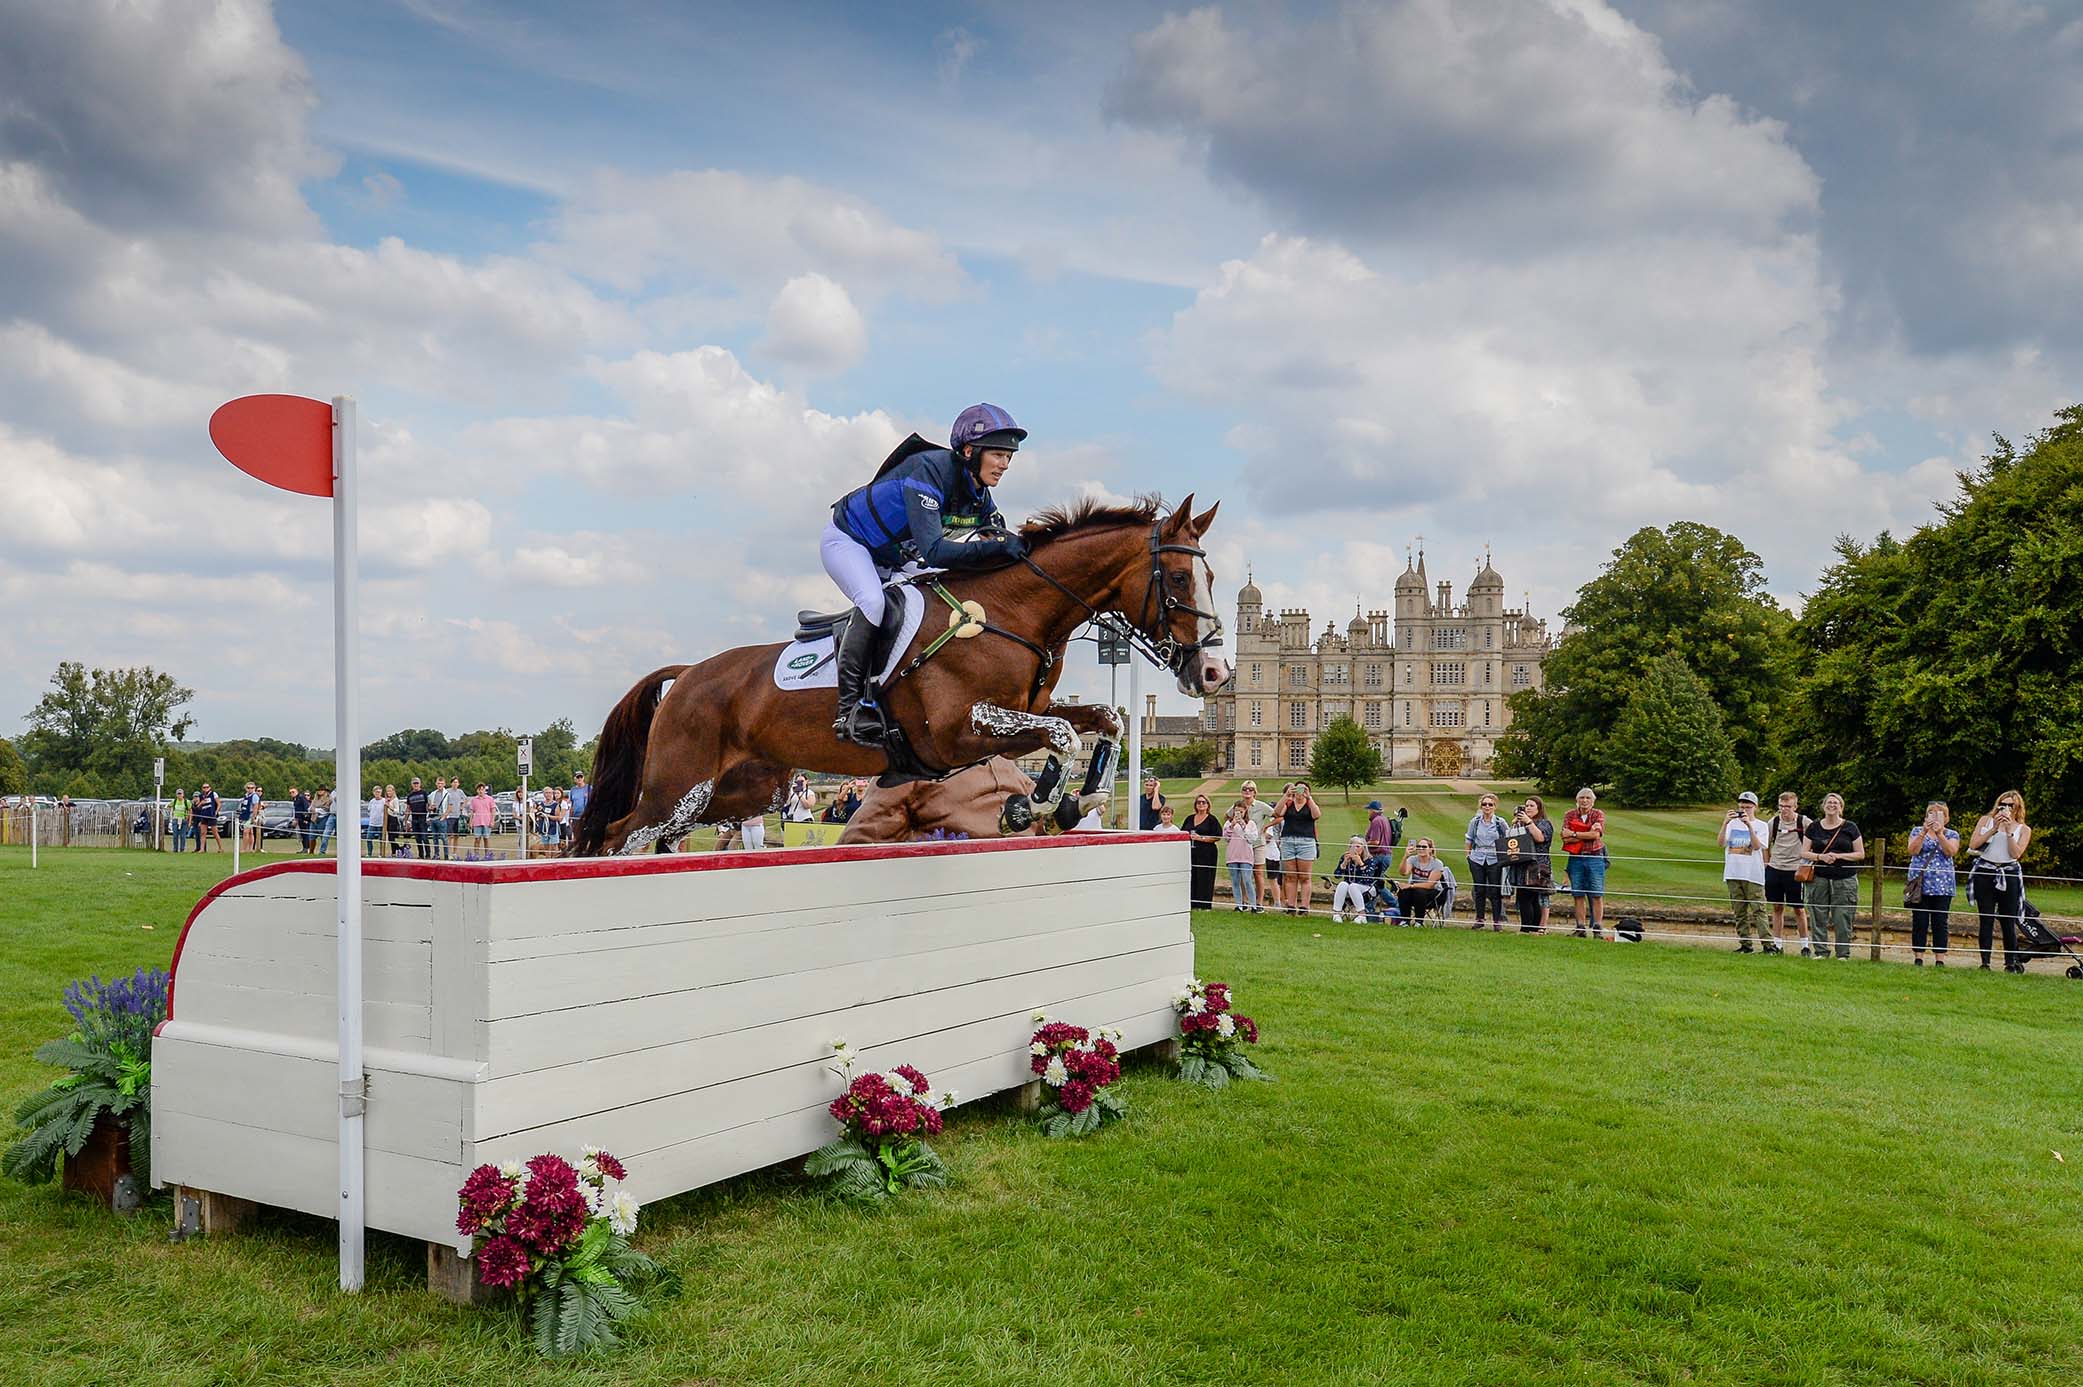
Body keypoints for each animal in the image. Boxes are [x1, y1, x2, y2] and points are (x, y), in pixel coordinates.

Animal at [570, 491, 1224, 849]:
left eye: (1213, 576)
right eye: (1181, 578)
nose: (1215, 672)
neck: (1011, 612)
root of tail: (689, 674)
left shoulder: (1024, 712)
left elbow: (1104, 719)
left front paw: (1079, 800)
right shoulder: (958, 731)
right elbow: (1062, 735)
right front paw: (1033, 805)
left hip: (734, 793)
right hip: (679, 786)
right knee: (618, 834)